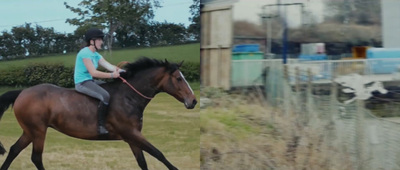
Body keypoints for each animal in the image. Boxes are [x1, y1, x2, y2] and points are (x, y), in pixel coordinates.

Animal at [0, 57, 197, 170]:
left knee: (14, 150)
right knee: (36, 157)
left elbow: (143, 162)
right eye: (178, 79)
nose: (193, 101)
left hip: (30, 131)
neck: (129, 96)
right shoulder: (132, 134)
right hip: (38, 131)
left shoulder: (132, 137)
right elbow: (158, 154)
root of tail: (22, 92)